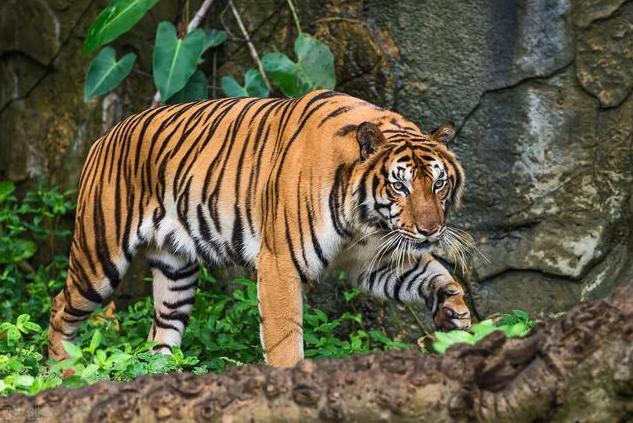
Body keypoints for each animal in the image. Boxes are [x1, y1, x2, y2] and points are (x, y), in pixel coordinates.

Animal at [48, 89, 470, 368]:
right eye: (399, 186)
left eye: (438, 184)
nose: (431, 230)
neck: (364, 221)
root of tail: (104, 136)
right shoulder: (280, 263)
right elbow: (285, 340)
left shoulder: (370, 261)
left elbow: (437, 276)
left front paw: (456, 317)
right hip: (99, 256)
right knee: (60, 307)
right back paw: (62, 372)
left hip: (175, 271)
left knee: (160, 332)